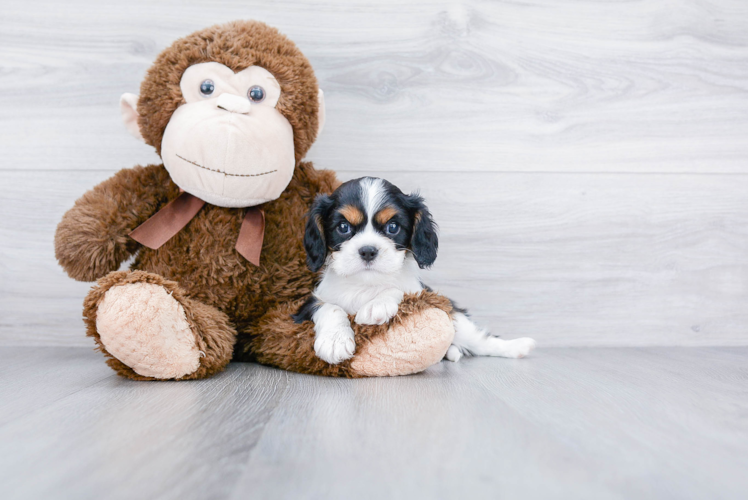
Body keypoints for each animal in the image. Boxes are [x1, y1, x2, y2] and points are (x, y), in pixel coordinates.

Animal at [294, 178, 536, 366]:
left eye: (393, 227)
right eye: (343, 227)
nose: (368, 251)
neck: (366, 284)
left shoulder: (420, 292)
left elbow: (399, 289)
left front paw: (377, 305)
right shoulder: (306, 305)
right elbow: (329, 307)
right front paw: (335, 341)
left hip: (458, 319)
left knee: (481, 341)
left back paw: (518, 347)